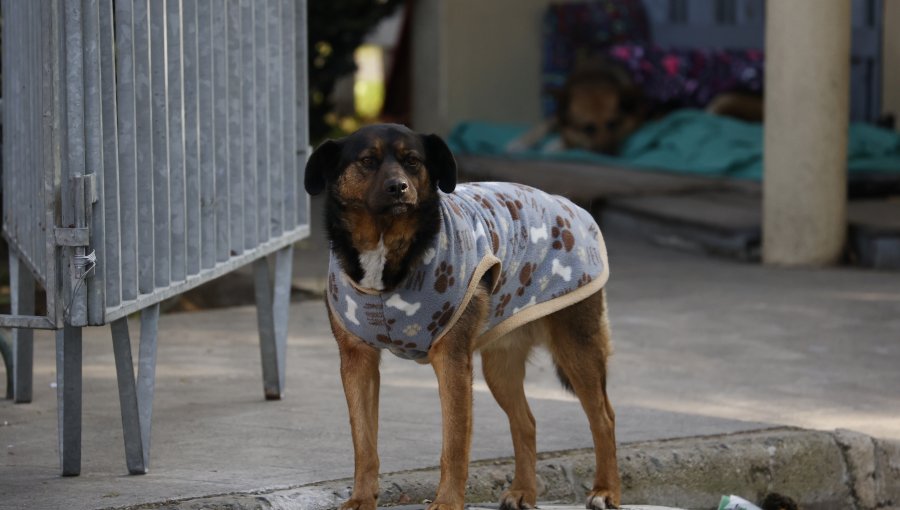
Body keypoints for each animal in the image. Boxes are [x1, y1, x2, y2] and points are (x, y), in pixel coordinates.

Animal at [306, 123, 624, 510]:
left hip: (576, 346)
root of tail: (572, 206)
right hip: (500, 365)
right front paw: (362, 499)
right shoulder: (357, 361)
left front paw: (447, 502)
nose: (399, 187)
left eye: (413, 161)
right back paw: (524, 491)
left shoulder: (452, 361)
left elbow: (454, 444)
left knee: (604, 418)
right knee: (526, 422)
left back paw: (606, 490)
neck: (389, 247)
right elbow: (364, 443)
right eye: (367, 161)